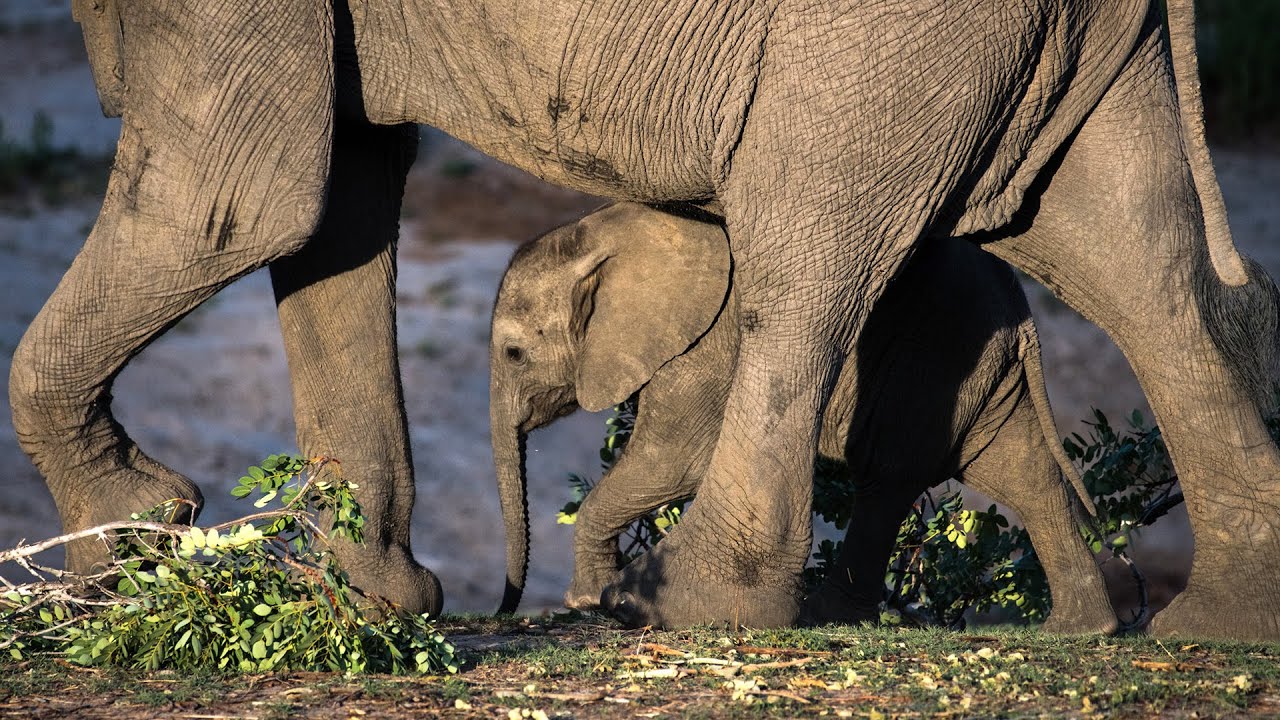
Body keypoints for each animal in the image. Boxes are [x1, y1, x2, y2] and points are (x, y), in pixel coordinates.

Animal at [489, 202, 1119, 633]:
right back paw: (1080, 629)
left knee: (885, 478)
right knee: (1024, 474)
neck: (606, 231)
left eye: (514, 354)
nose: (503, 609)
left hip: (934, 357)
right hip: (980, 368)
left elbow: (676, 461)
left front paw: (593, 600)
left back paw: (823, 615)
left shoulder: (706, 342)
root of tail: (1022, 307)